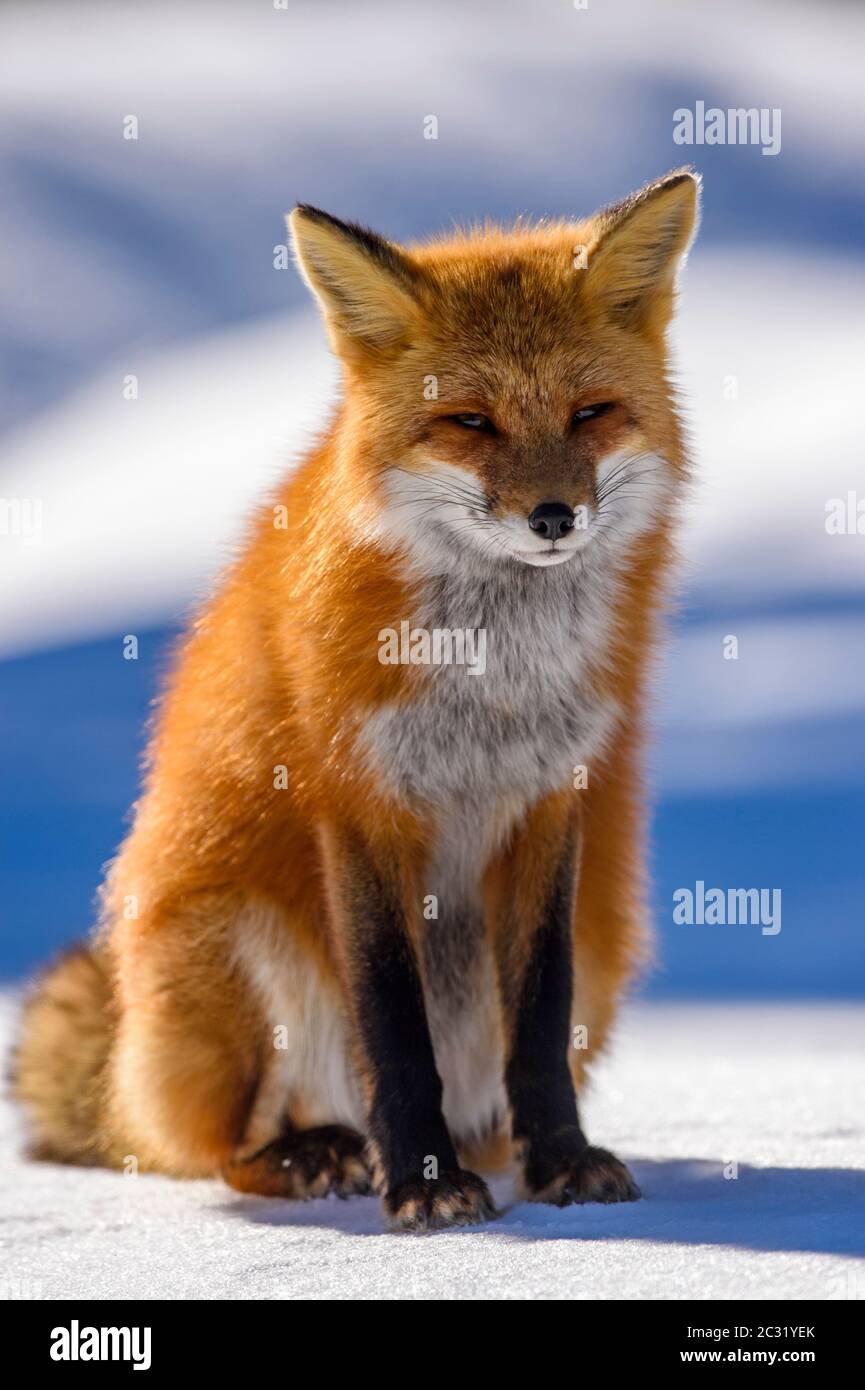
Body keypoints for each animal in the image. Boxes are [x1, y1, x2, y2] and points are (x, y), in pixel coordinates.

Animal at [14, 169, 700, 1231]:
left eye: (591, 413)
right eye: (469, 422)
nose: (554, 517)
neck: (491, 677)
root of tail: (120, 1078)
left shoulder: (552, 802)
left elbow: (537, 1025)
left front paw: (560, 1162)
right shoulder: (358, 803)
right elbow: (395, 1030)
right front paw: (420, 1183)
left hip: (601, 941)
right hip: (237, 941)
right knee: (217, 1151)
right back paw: (319, 1153)